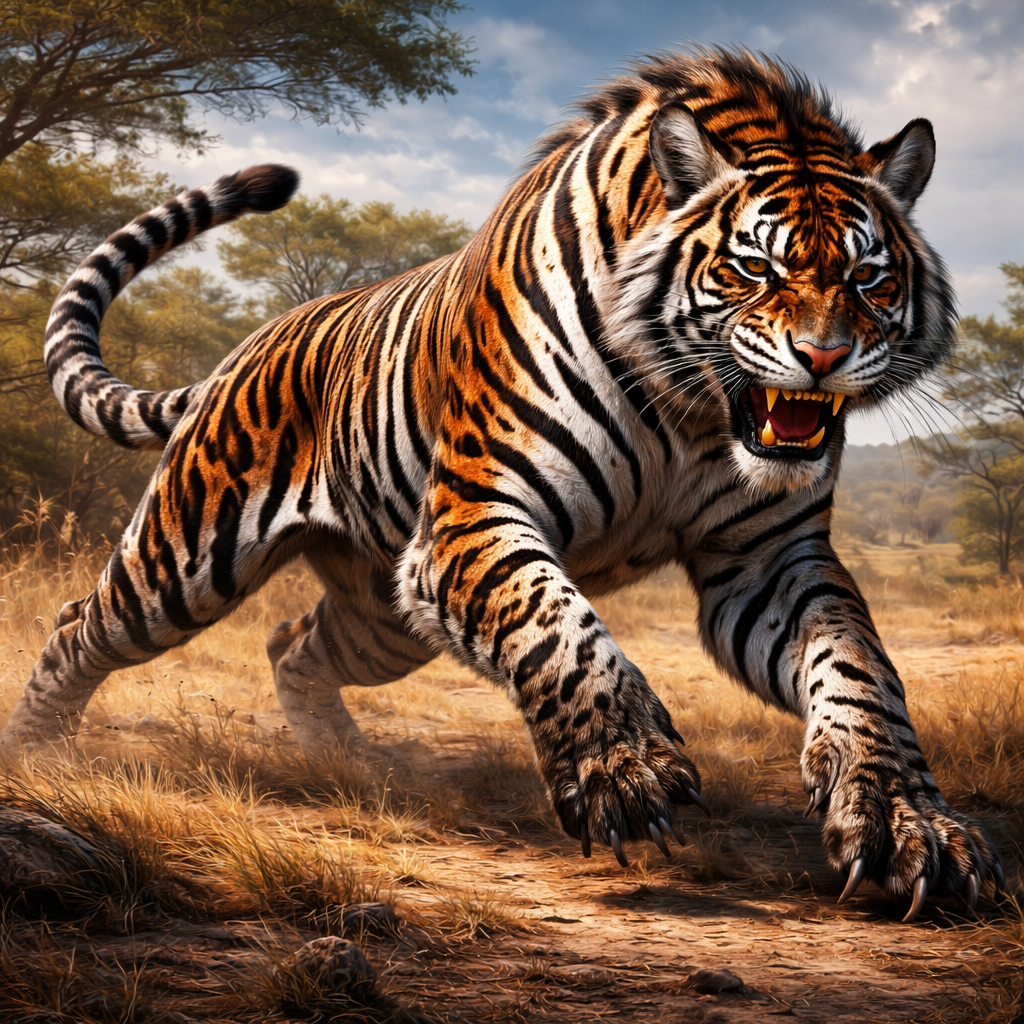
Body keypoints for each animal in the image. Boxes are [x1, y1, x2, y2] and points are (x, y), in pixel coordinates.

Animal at [1, 48, 1001, 921]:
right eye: (755, 267)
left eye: (869, 278)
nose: (824, 357)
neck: (693, 410)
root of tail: (241, 349)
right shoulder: (475, 516)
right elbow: (554, 621)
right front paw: (620, 771)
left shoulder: (767, 562)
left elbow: (863, 666)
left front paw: (909, 823)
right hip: (185, 559)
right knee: (81, 626)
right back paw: (38, 759)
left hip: (380, 616)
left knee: (293, 644)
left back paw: (350, 766)